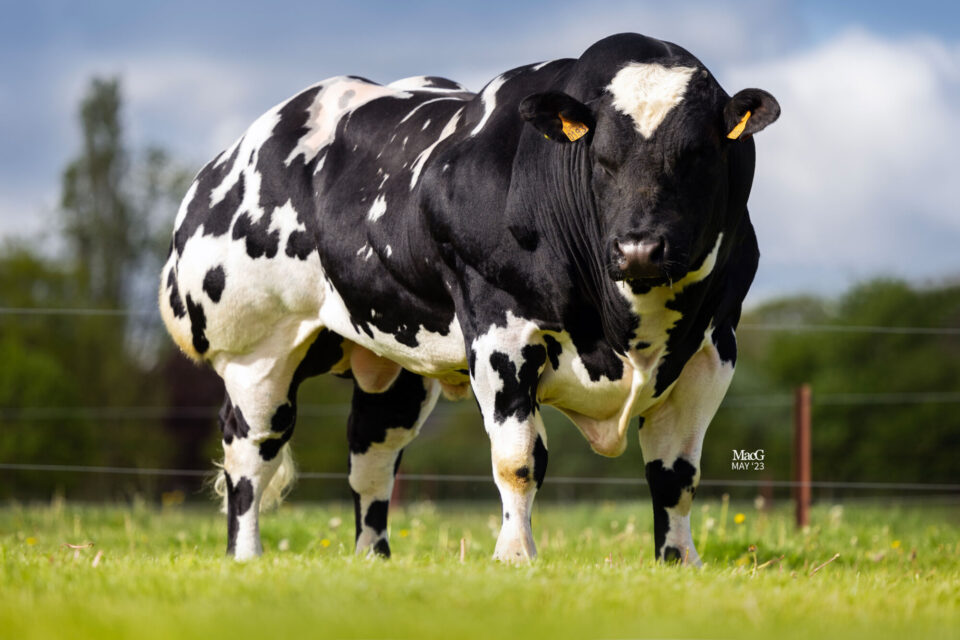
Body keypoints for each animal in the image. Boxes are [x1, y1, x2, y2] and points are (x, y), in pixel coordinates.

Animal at [159, 32, 779, 564]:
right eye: (602, 158)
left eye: (698, 154)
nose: (640, 248)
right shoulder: (500, 331)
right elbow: (519, 461)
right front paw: (516, 556)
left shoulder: (712, 349)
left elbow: (676, 476)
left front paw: (678, 562)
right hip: (258, 352)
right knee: (251, 455)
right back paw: (245, 556)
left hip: (395, 365)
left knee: (370, 457)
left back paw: (373, 559)